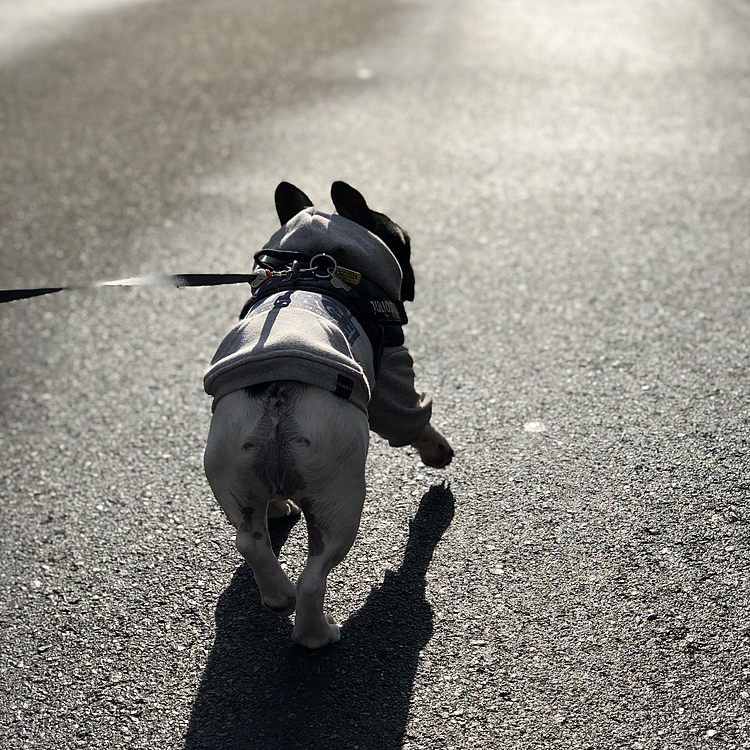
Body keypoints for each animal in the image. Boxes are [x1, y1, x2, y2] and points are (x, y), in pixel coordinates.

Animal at [203, 179, 456, 648]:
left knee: (251, 541)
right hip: (340, 499)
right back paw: (316, 633)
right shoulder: (392, 374)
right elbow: (411, 416)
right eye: (404, 241)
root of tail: (277, 398)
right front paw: (438, 451)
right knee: (314, 575)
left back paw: (277, 591)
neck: (315, 258)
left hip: (233, 471)